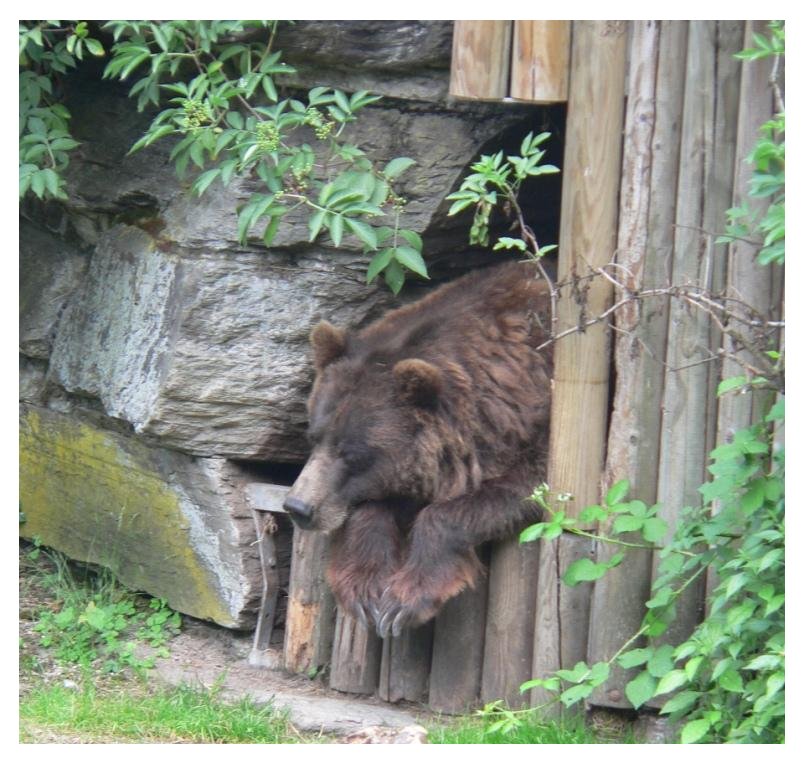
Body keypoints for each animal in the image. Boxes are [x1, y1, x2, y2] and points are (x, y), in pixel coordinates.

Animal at [283, 260, 553, 638]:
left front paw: (405, 602)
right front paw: (365, 591)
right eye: (314, 435)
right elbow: (376, 506)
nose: (298, 506)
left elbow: (515, 487)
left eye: (351, 452)